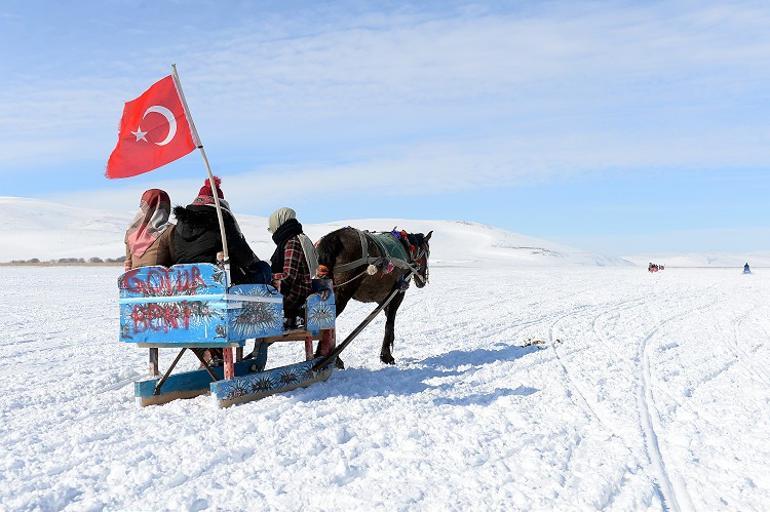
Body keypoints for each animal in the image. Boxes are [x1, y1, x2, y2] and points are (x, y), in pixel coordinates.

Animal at [314, 227, 432, 364]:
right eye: (428, 253)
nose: (423, 281)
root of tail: (333, 238)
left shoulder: (382, 298)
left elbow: (389, 322)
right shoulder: (397, 294)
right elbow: (390, 323)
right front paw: (387, 355)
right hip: (341, 294)